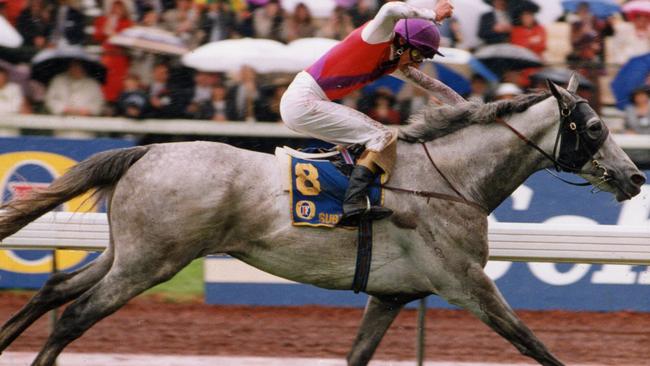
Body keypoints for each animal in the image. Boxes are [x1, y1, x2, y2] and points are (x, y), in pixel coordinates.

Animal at [0, 75, 644, 366]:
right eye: (593, 128)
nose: (635, 176)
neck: (450, 181)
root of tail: (148, 150)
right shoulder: (466, 283)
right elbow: (531, 341)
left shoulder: (392, 294)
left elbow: (357, 355)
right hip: (151, 262)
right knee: (75, 315)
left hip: (126, 252)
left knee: (55, 289)